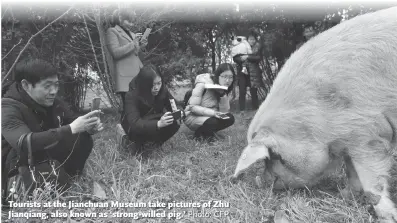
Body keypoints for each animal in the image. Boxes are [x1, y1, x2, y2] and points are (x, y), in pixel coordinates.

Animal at [232, 6, 396, 221]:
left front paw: (387, 217)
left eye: (274, 156)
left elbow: (372, 182)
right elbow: (351, 172)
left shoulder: (368, 133)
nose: (267, 183)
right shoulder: (350, 141)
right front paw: (343, 195)